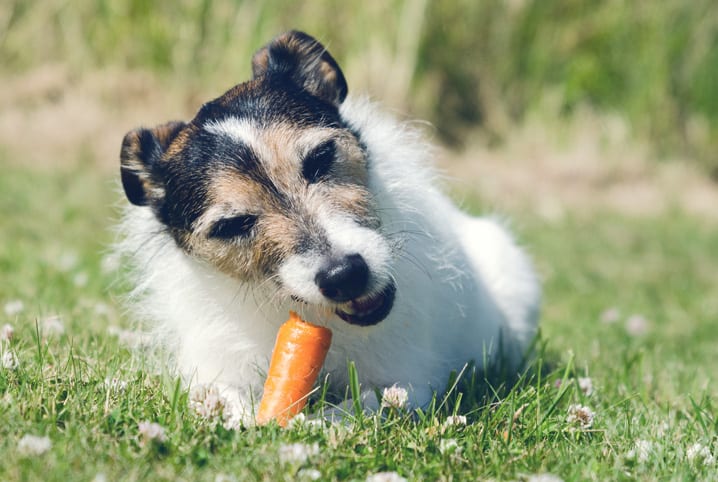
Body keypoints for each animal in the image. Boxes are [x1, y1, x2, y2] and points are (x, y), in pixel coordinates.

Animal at [118, 31, 544, 426]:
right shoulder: (214, 369)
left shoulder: (407, 381)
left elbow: (363, 406)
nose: (345, 275)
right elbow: (220, 397)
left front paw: (315, 424)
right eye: (233, 224)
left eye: (321, 157)